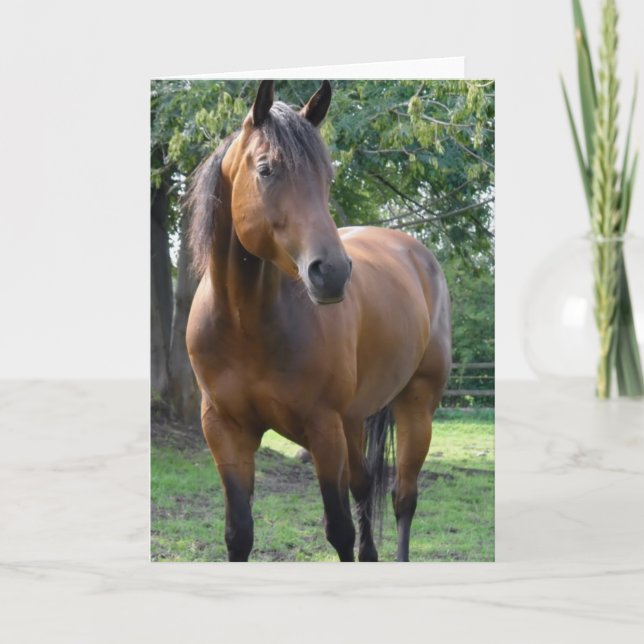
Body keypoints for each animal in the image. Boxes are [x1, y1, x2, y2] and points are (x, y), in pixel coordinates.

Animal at [185, 80, 452, 562]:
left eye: (327, 176)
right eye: (266, 169)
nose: (332, 272)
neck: (245, 324)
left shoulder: (323, 429)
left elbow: (339, 530)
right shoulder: (225, 432)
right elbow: (239, 533)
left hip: (415, 407)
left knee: (402, 498)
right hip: (355, 421)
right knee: (365, 486)